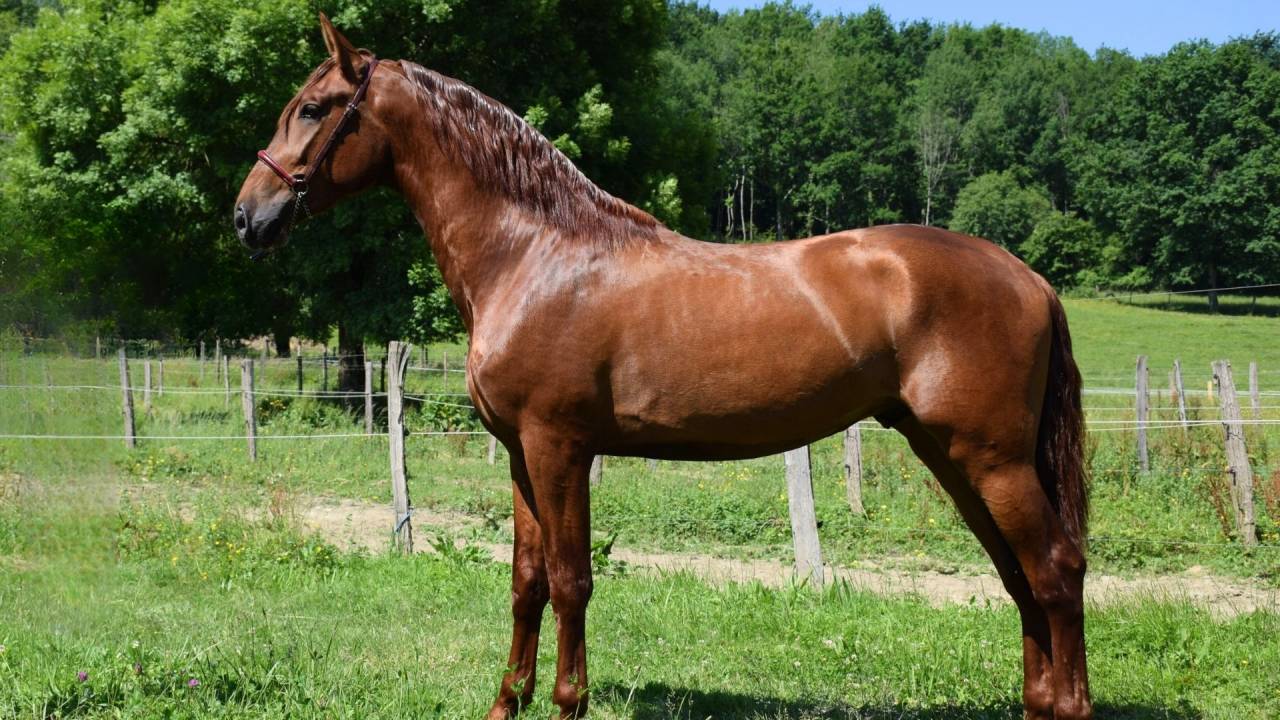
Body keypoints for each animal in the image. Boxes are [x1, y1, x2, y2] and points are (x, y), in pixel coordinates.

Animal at [234, 15, 1092, 720]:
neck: (534, 255)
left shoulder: (559, 447)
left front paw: (567, 703)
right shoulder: (518, 454)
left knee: (1054, 570)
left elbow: (572, 580)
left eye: (312, 108)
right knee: (1019, 578)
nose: (247, 216)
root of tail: (1029, 276)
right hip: (953, 455)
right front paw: (507, 701)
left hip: (992, 460)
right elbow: (526, 579)